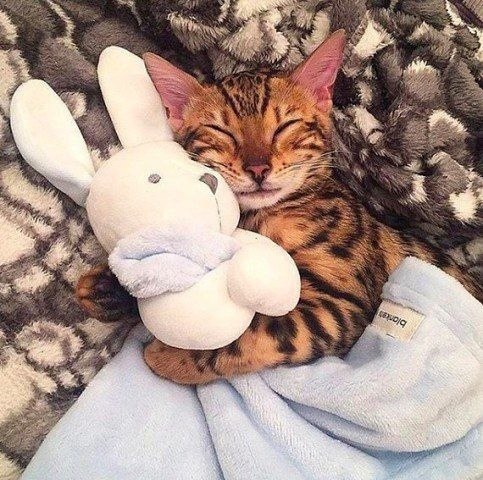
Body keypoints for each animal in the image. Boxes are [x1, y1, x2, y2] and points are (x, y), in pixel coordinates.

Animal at [77, 31, 480, 384]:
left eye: (284, 126)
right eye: (222, 132)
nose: (258, 169)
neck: (266, 215)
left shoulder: (340, 305)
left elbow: (258, 334)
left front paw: (171, 357)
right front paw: (109, 288)